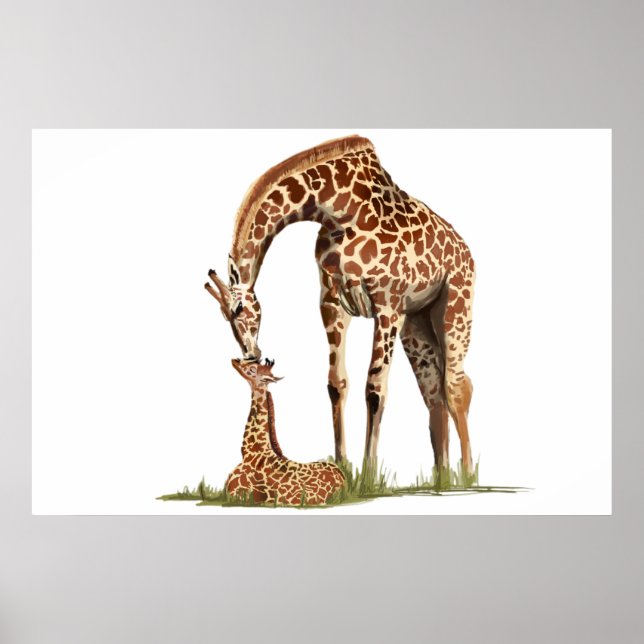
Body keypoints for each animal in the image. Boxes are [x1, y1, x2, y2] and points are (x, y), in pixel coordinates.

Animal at [205, 135, 476, 474]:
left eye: (239, 311)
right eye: (224, 316)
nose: (251, 354)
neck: (337, 210)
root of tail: (467, 253)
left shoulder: (387, 305)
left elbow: (375, 388)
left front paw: (369, 475)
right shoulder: (332, 302)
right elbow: (337, 383)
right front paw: (343, 465)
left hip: (454, 307)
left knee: (456, 387)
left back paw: (467, 475)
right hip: (416, 321)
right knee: (434, 393)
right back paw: (441, 477)